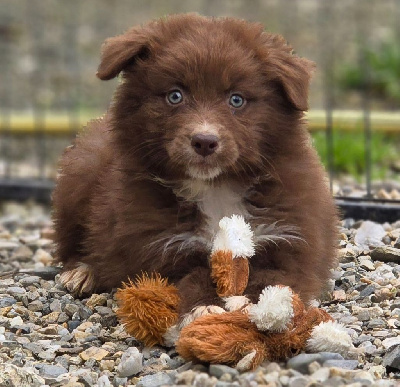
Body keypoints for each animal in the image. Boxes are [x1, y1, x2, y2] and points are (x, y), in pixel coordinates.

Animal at [53, 13, 338, 320]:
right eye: (175, 96)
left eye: (236, 99)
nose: (204, 141)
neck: (215, 187)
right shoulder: (157, 244)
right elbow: (189, 275)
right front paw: (204, 307)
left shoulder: (291, 235)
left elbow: (274, 276)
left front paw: (257, 305)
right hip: (80, 175)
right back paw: (82, 272)